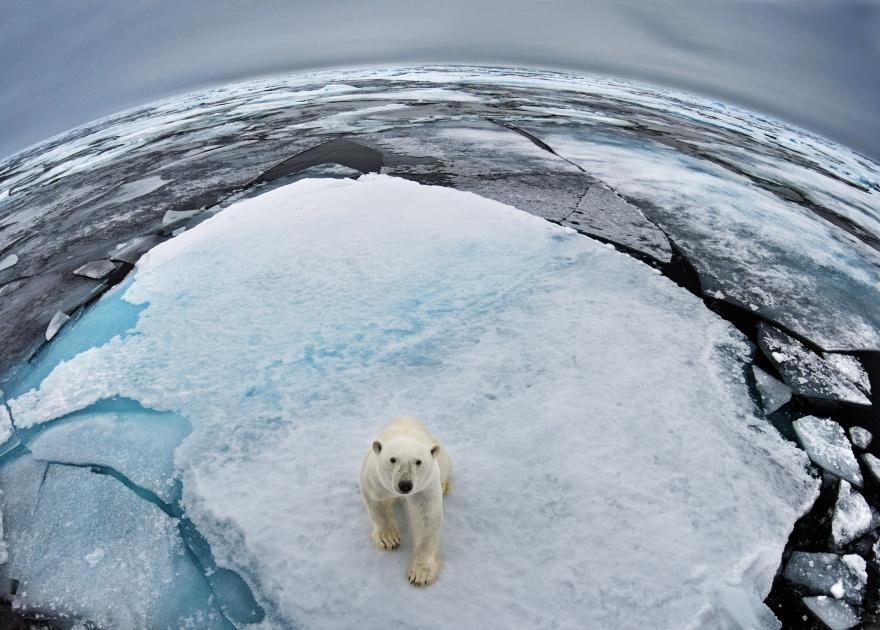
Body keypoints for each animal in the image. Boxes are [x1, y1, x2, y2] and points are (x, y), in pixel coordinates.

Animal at [360, 420, 454, 588]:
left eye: (418, 461)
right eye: (392, 459)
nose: (405, 485)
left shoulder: (426, 485)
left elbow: (427, 516)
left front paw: (420, 574)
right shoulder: (374, 477)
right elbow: (376, 502)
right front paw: (389, 539)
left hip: (440, 457)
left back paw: (444, 486)